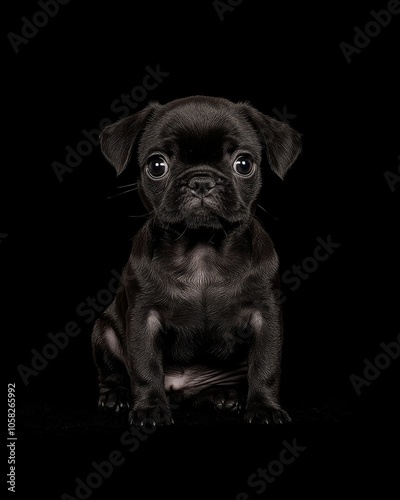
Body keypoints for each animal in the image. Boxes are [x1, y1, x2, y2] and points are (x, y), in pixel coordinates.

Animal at [92, 94, 302, 426]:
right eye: (157, 165)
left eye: (243, 164)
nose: (201, 180)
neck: (202, 250)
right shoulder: (143, 316)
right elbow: (144, 366)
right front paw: (150, 408)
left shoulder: (265, 315)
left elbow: (265, 366)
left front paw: (264, 408)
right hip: (103, 331)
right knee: (112, 371)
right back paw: (116, 396)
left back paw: (222, 398)